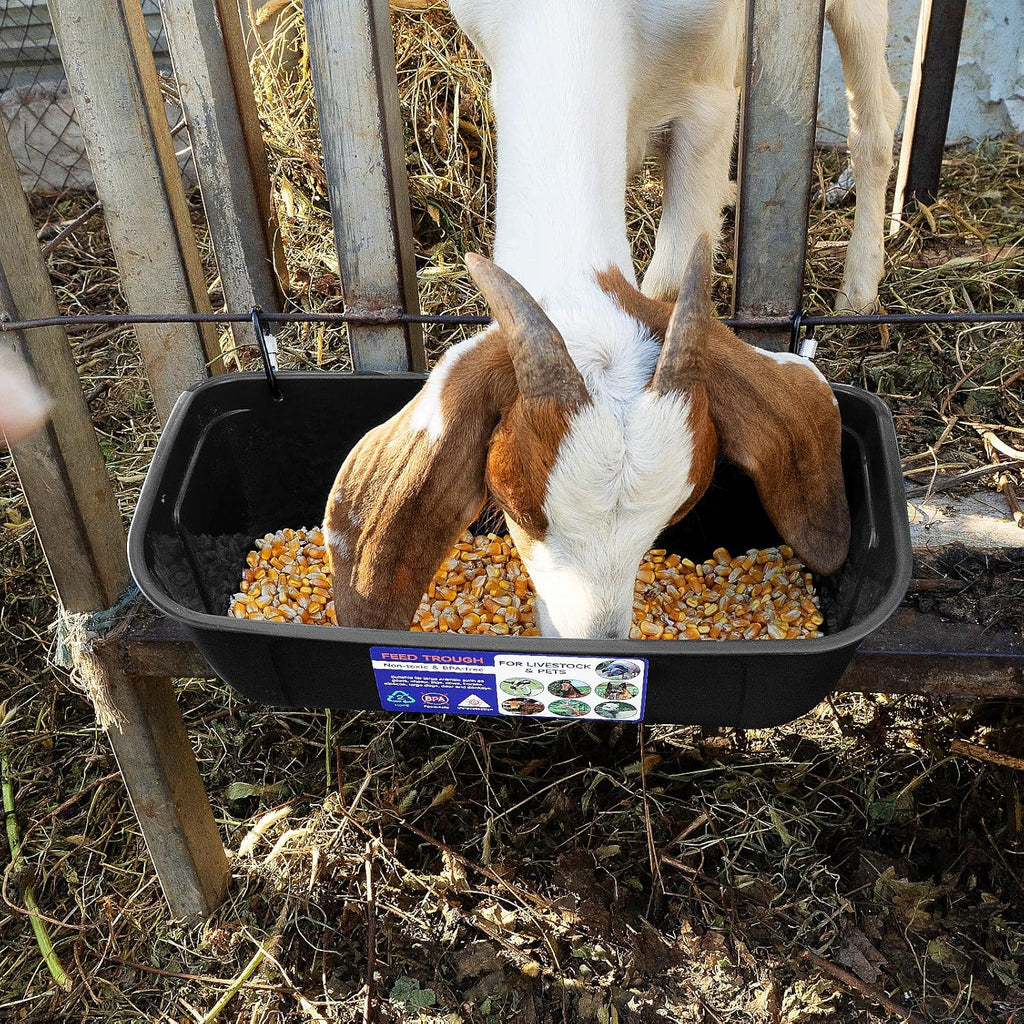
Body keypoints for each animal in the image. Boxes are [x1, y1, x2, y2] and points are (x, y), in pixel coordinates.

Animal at [322, 0, 873, 638]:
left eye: (677, 512)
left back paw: (860, 291)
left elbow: (669, 277)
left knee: (873, 119)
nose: (596, 640)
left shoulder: (711, 99)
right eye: (509, 504)